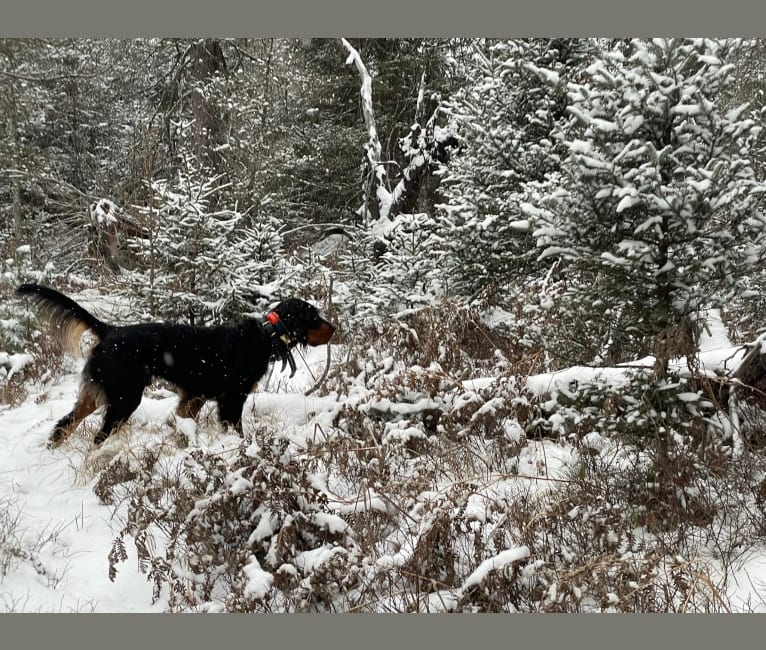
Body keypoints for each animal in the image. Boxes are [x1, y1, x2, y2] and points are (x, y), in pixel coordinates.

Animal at [17, 284, 336, 446]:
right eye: (315, 317)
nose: (335, 328)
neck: (265, 336)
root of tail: (109, 330)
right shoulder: (232, 398)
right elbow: (237, 431)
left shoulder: (193, 397)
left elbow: (184, 422)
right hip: (124, 398)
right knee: (98, 436)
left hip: (97, 394)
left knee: (64, 425)